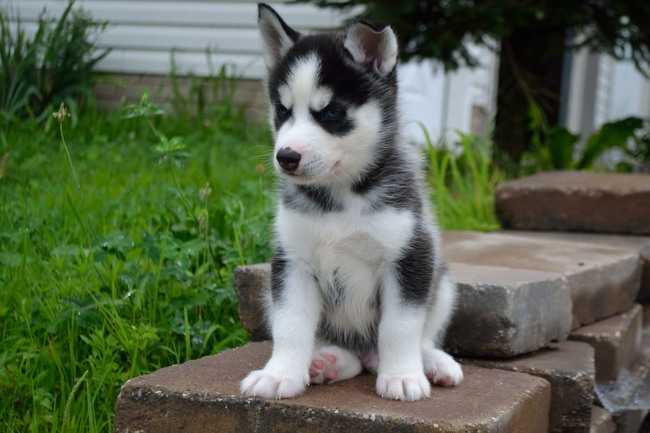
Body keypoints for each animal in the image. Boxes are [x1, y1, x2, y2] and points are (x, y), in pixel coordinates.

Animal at [242, 4, 460, 402]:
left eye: (330, 113)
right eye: (282, 111)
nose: (286, 157)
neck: (340, 198)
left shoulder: (409, 255)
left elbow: (400, 326)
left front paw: (402, 376)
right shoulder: (292, 261)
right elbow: (291, 325)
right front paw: (280, 374)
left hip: (443, 281)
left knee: (418, 337)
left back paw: (432, 362)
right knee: (348, 353)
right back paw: (328, 361)